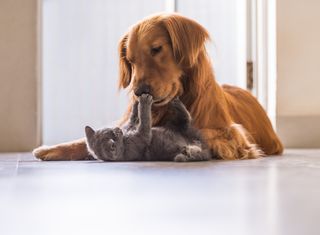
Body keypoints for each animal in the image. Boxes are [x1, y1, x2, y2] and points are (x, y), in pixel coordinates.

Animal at [84, 93, 212, 162]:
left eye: (109, 131)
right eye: (114, 136)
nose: (117, 130)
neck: (124, 142)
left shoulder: (130, 128)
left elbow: (132, 121)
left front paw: (135, 104)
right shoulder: (140, 139)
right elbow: (144, 121)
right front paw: (144, 102)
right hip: (185, 133)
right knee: (186, 121)